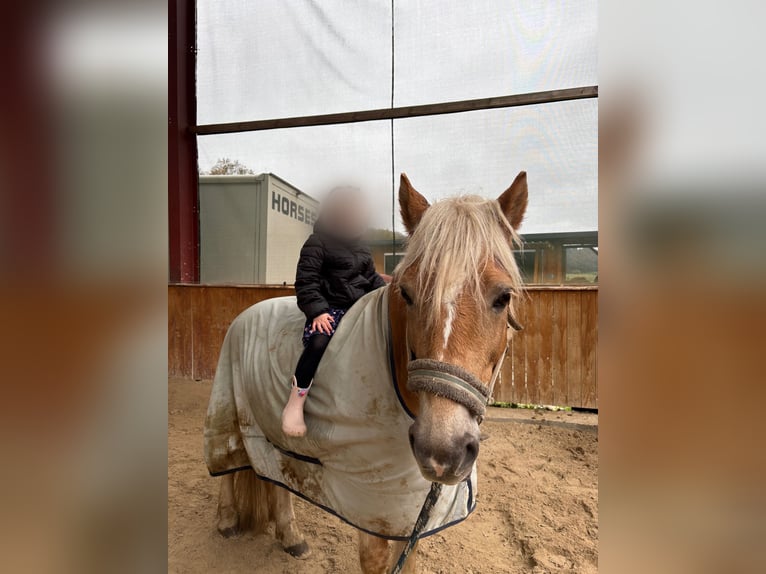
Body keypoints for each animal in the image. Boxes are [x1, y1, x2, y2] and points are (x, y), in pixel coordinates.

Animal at [204, 172, 528, 574]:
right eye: (407, 294)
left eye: (503, 297)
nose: (442, 450)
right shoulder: (372, 507)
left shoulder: (411, 511)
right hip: (229, 412)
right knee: (228, 466)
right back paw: (227, 520)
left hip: (270, 436)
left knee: (276, 479)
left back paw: (291, 537)